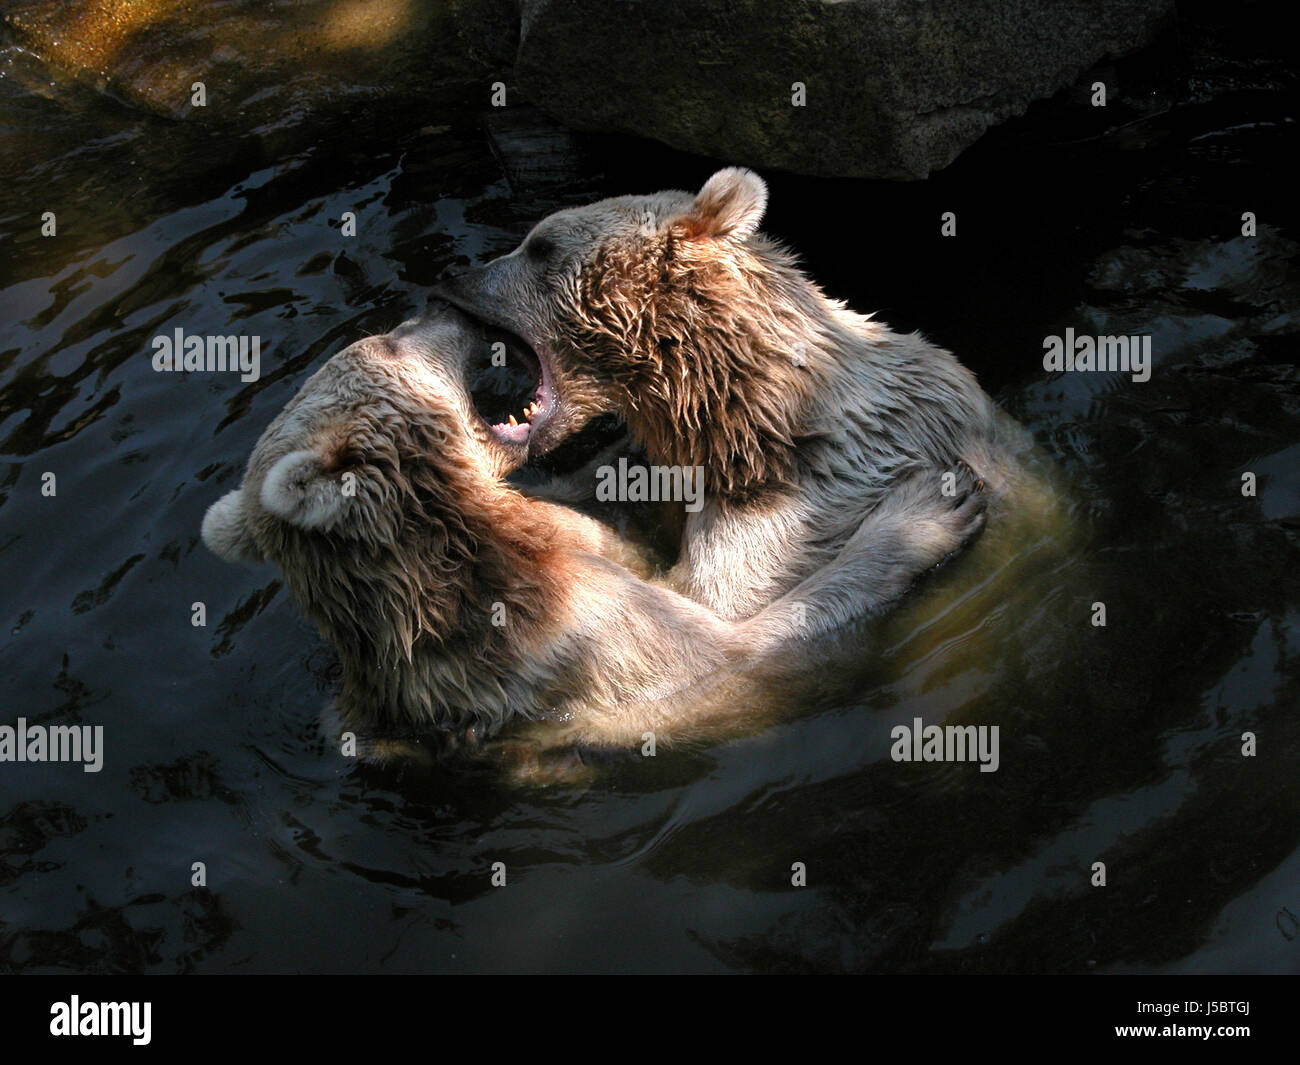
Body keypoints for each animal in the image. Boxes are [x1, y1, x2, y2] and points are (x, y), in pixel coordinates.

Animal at [200, 301, 987, 765]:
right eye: (391, 341)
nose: (443, 309)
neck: (460, 558)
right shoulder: (572, 634)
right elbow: (729, 647)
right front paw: (927, 510)